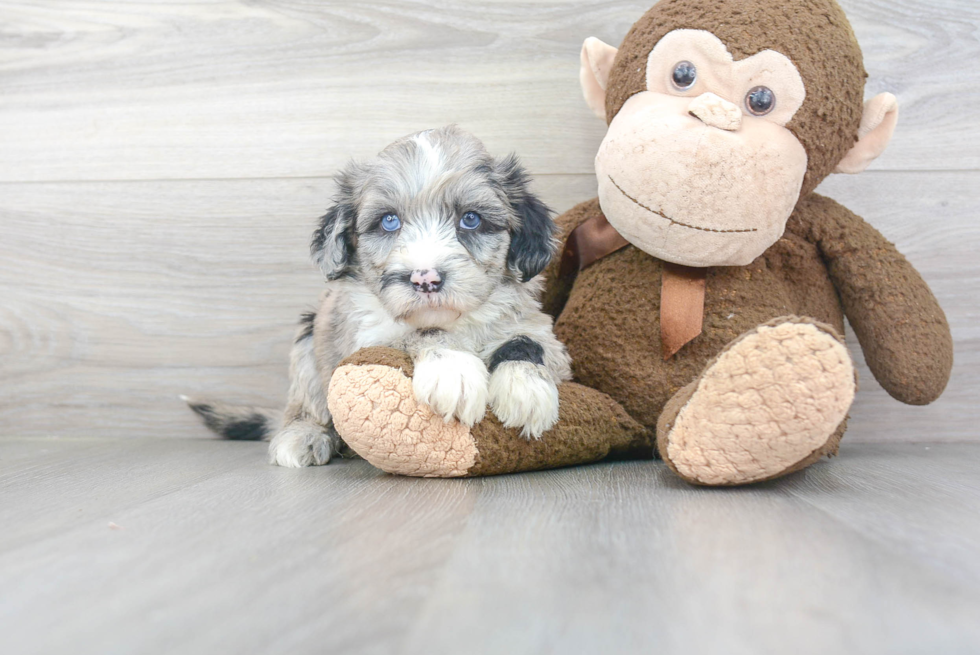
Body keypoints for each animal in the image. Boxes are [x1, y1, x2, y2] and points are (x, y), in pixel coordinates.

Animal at [187, 127, 572, 466]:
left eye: (471, 219)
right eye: (389, 221)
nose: (425, 279)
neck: (456, 320)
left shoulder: (543, 333)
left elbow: (526, 342)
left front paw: (525, 388)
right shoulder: (367, 337)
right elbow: (419, 333)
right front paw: (453, 369)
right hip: (307, 340)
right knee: (306, 406)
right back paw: (303, 437)